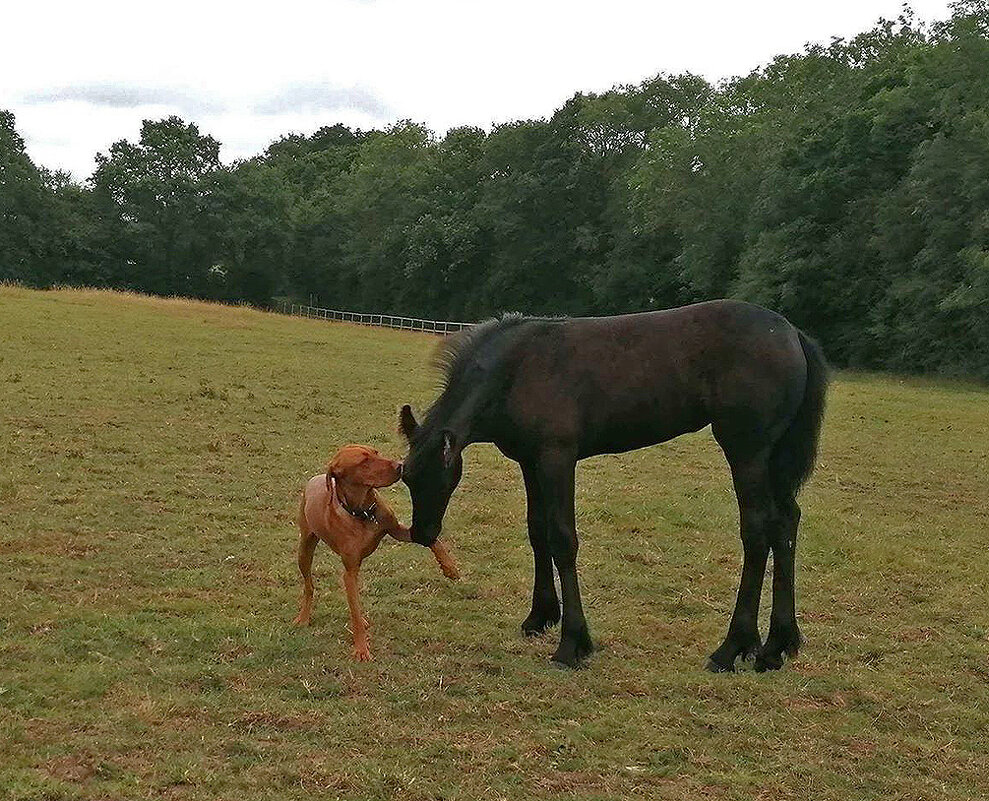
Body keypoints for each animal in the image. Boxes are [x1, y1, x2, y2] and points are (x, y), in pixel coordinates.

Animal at [292, 440, 458, 660]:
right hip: (305, 550)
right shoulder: (349, 571)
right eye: (363, 462)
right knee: (310, 586)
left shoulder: (398, 530)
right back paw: (303, 617)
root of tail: (316, 477)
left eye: (376, 452)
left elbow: (432, 540)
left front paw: (450, 568)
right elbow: (354, 610)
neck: (363, 512)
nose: (400, 466)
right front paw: (361, 649)